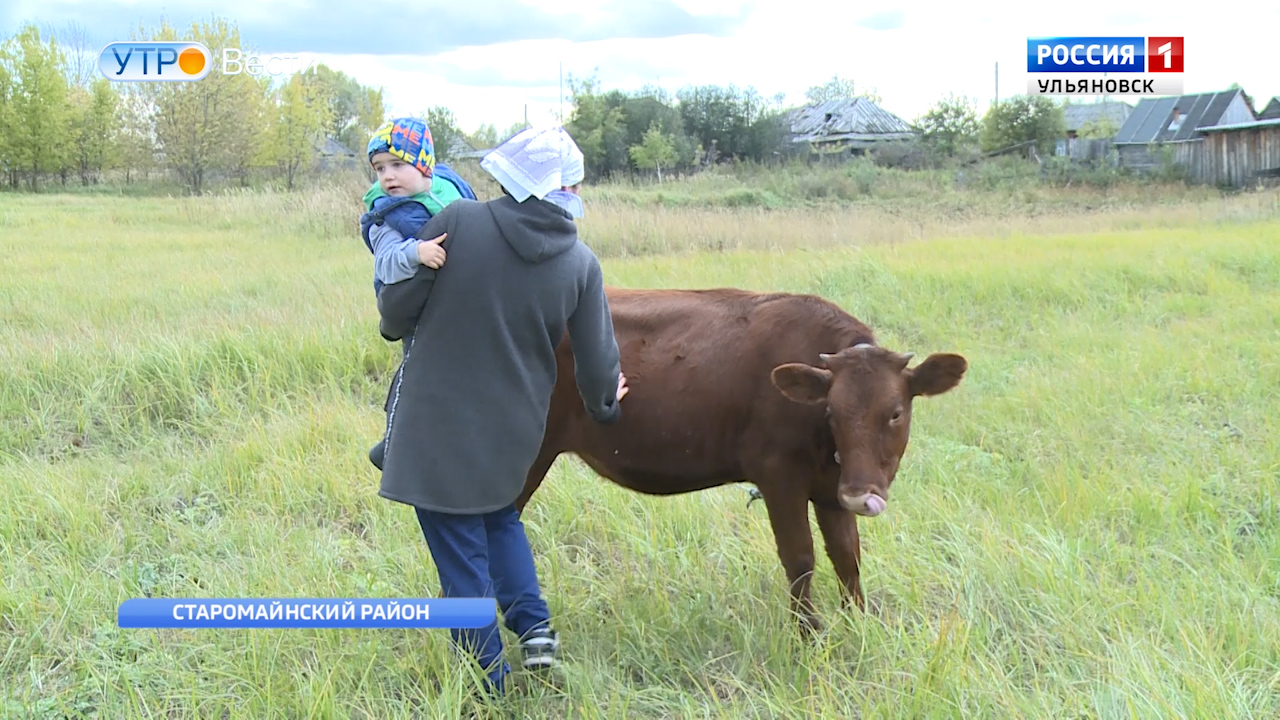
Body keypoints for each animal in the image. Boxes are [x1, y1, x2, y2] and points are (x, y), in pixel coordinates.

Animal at [514, 286, 962, 632]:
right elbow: (800, 558)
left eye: (895, 412)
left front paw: (859, 626)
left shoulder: (830, 489)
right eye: (832, 411)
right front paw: (809, 637)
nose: (860, 495)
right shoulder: (779, 477)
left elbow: (847, 557)